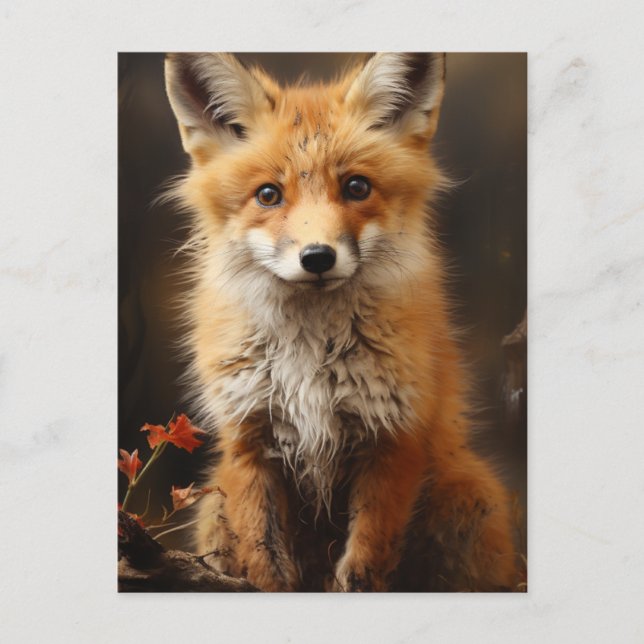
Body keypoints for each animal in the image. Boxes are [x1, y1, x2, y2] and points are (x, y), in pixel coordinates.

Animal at [163, 52, 519, 592]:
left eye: (356, 187)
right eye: (268, 195)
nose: (317, 258)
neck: (309, 355)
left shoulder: (393, 439)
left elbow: (364, 563)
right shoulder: (248, 439)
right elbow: (264, 563)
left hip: (469, 495)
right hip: (212, 508)